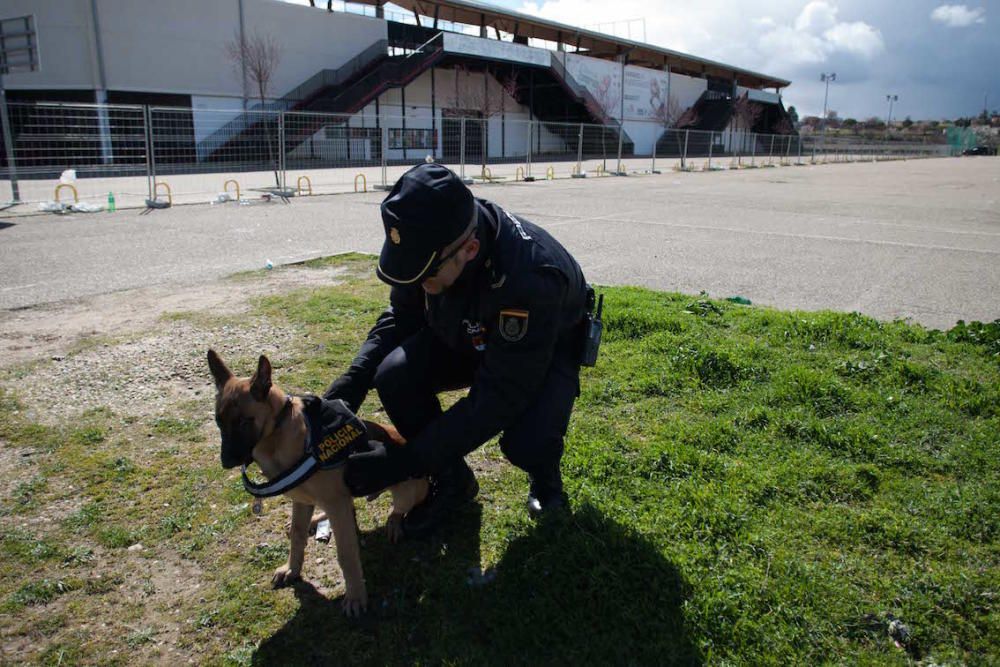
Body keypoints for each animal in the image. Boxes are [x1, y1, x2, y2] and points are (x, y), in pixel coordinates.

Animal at [209, 350, 428, 616]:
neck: (281, 435)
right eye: (218, 421)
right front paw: (292, 569)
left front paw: (355, 596)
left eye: (244, 422)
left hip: (408, 490)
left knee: (397, 510)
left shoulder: (335, 504)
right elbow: (297, 535)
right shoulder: (302, 501)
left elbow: (346, 554)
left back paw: (394, 523)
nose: (225, 462)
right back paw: (317, 520)